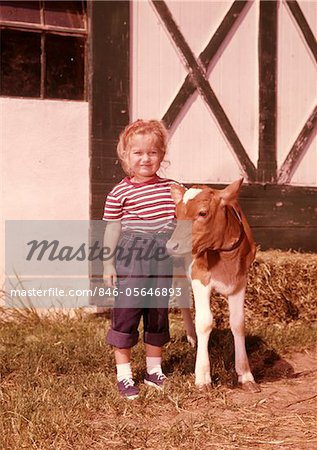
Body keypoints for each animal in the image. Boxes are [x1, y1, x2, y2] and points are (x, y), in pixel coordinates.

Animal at [165, 178, 260, 392]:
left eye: (202, 213)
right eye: (177, 214)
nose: (171, 245)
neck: (225, 257)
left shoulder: (240, 282)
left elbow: (238, 323)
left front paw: (245, 375)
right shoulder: (200, 278)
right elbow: (205, 322)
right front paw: (202, 377)